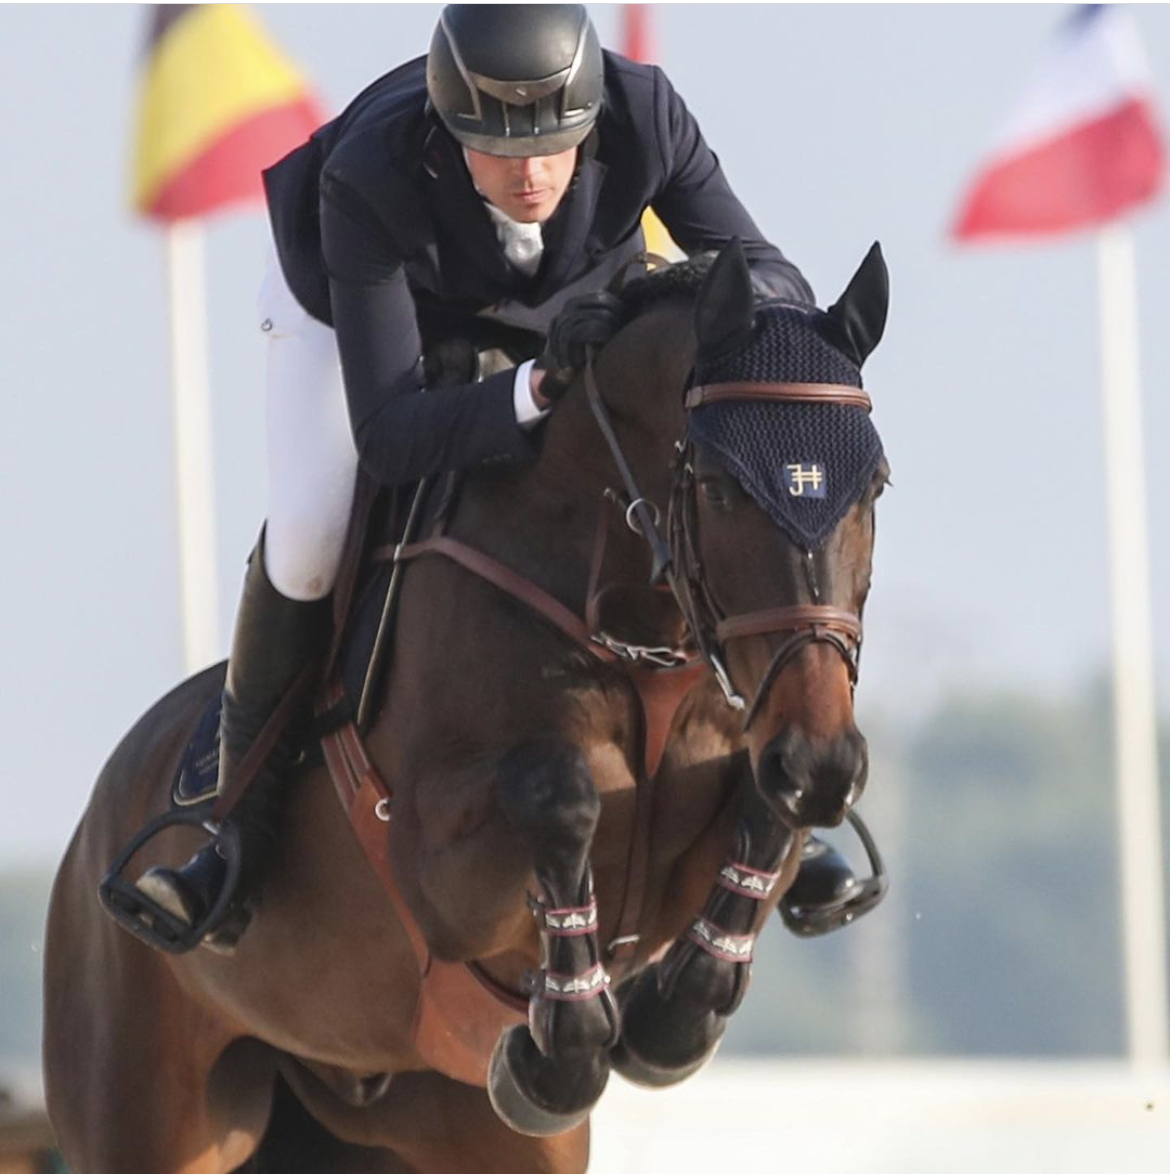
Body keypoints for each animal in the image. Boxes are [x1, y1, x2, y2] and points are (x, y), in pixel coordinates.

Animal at [43, 239, 890, 1173]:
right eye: (718, 487)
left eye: (876, 485)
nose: (821, 762)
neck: (633, 623)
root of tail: (91, 830)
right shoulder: (438, 872)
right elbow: (559, 793)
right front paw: (561, 1050)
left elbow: (764, 813)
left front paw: (667, 1017)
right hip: (141, 1106)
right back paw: (190, 885)